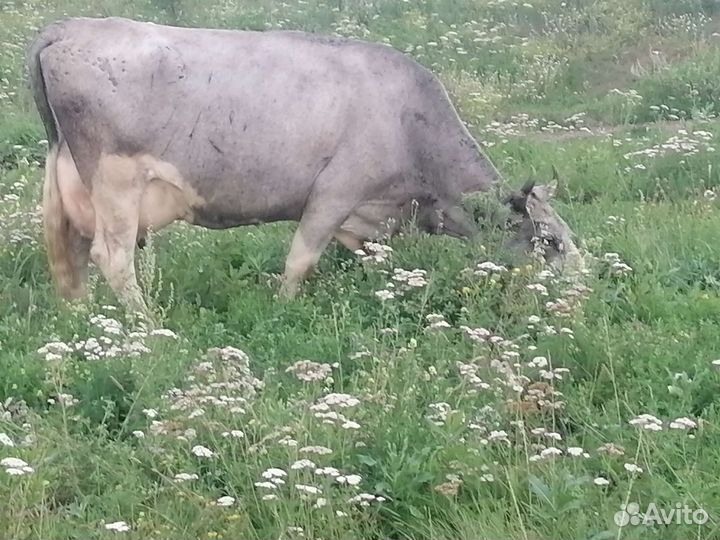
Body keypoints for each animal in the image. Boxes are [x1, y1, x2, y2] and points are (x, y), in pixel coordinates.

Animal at [26, 17, 580, 315]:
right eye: (550, 241)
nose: (585, 286)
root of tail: (68, 27)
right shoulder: (334, 194)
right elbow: (299, 260)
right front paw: (284, 308)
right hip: (115, 182)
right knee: (112, 256)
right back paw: (147, 327)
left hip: (70, 180)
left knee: (70, 254)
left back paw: (81, 319)